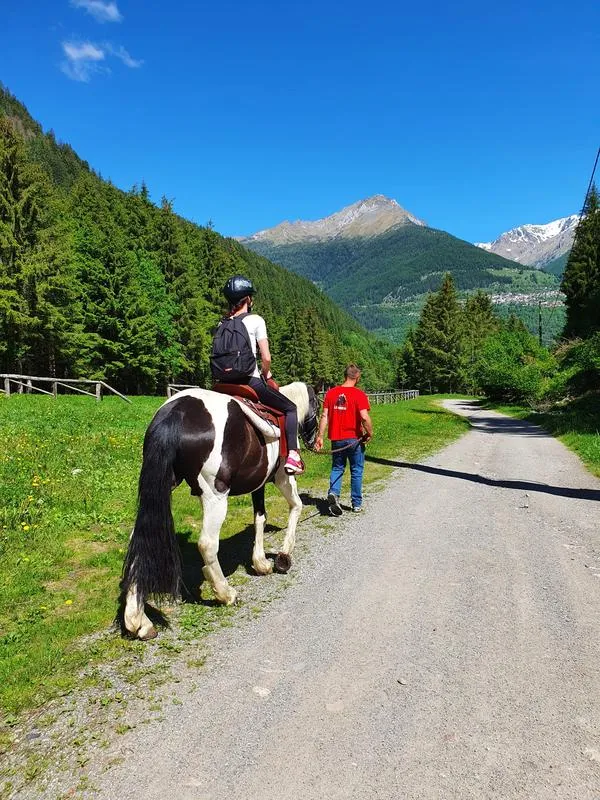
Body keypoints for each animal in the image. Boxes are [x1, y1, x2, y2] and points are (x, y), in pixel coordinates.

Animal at [121, 381, 319, 639]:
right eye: (318, 406)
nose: (316, 442)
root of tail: (176, 412)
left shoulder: (258, 483)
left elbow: (260, 518)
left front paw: (261, 563)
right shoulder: (282, 477)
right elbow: (296, 506)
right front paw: (283, 557)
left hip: (164, 485)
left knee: (139, 540)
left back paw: (138, 620)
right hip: (215, 495)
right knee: (207, 544)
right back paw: (226, 593)